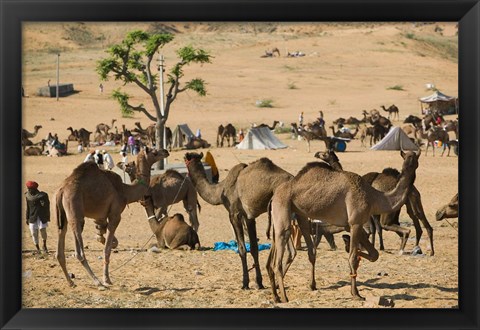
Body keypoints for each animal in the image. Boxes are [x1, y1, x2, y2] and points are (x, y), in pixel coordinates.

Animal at [54, 146, 169, 288]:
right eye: (154, 151)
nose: (166, 151)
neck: (125, 191)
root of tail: (61, 190)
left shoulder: (102, 217)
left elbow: (107, 238)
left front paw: (105, 240)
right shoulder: (115, 215)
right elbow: (107, 249)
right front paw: (107, 279)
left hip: (62, 215)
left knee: (60, 242)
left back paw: (71, 282)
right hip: (75, 211)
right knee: (79, 251)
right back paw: (97, 282)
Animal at [184, 152, 292, 288]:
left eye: (185, 160)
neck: (220, 191)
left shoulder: (234, 214)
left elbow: (242, 249)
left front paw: (245, 283)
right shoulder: (249, 217)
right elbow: (254, 248)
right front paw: (259, 282)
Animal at [266, 150, 420, 302]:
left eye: (413, 158)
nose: (410, 165)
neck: (374, 197)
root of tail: (274, 196)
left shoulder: (351, 225)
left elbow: (374, 254)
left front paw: (350, 247)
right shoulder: (356, 222)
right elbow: (353, 258)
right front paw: (356, 294)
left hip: (299, 213)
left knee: (309, 247)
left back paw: (285, 292)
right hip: (282, 206)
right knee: (279, 254)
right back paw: (284, 297)